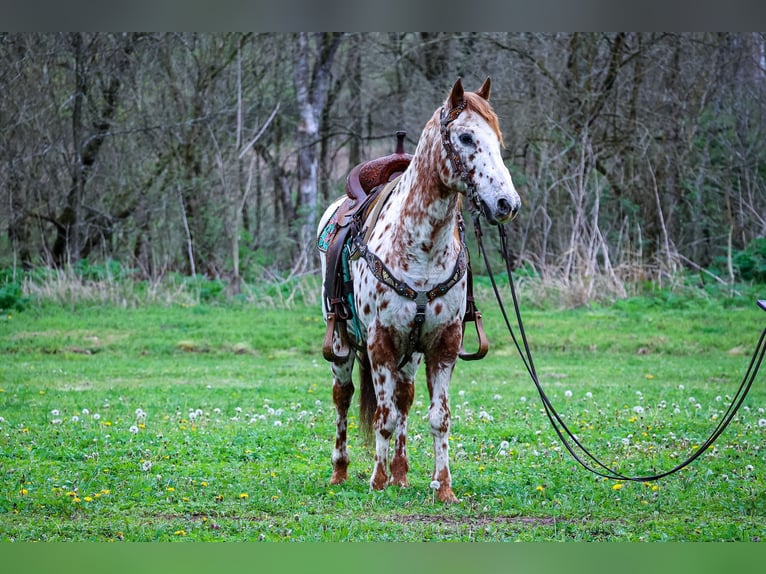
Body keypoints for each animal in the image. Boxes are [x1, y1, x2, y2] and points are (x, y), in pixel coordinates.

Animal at [316, 77, 520, 504]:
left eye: (497, 139)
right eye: (465, 137)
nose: (506, 203)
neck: (421, 248)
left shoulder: (443, 344)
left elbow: (438, 417)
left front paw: (443, 487)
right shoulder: (380, 342)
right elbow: (383, 416)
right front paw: (376, 482)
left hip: (409, 354)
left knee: (404, 397)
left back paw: (401, 474)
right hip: (342, 344)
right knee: (343, 396)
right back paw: (341, 472)